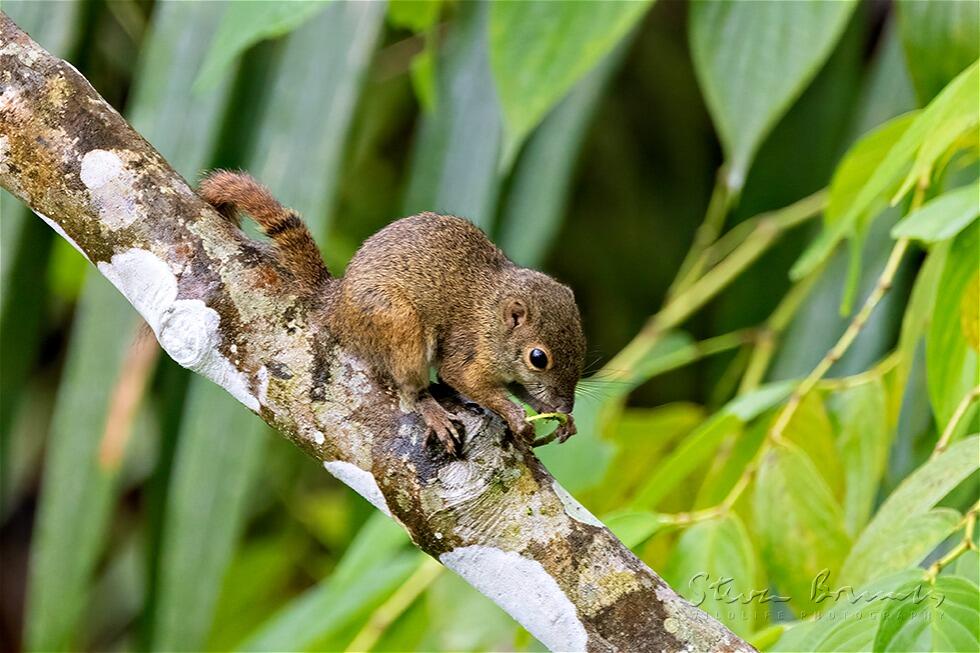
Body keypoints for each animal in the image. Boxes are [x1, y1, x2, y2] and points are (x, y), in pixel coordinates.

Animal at [199, 170, 585, 454]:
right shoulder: (469, 347)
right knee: (410, 388)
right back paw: (433, 410)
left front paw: (563, 420)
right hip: (398, 324)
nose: (566, 405)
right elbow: (460, 378)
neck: (491, 313)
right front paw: (515, 415)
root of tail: (337, 310)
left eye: (582, 346)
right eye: (538, 357)